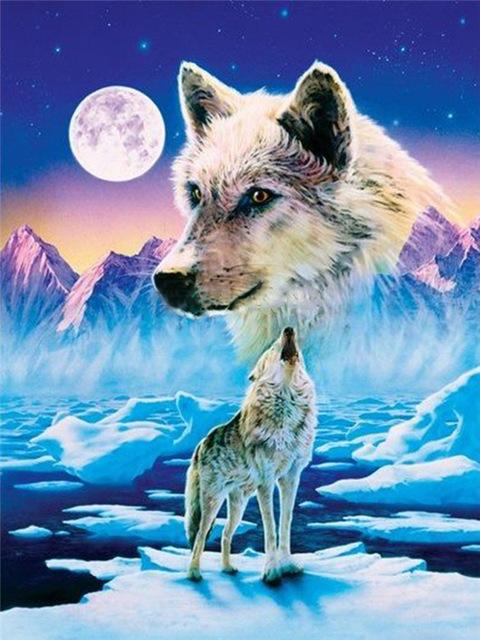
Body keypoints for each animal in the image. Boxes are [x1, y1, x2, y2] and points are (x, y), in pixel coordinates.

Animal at [184, 326, 315, 584]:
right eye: (273, 347)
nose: (288, 329)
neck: (287, 405)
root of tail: (201, 443)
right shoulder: (267, 482)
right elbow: (271, 528)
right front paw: (272, 571)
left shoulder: (291, 478)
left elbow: (286, 523)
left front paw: (288, 565)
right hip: (211, 502)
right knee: (200, 536)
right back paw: (193, 573)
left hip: (239, 504)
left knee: (225, 534)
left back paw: (228, 568)